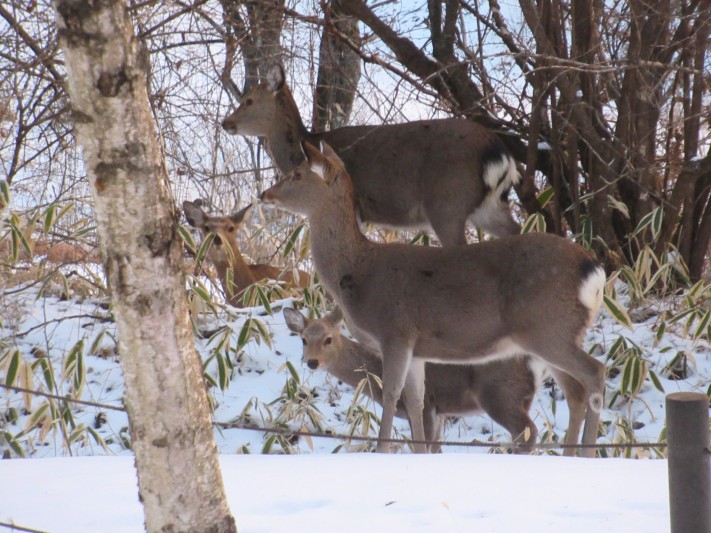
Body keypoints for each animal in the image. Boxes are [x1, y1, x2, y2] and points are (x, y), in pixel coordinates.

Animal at [222, 65, 520, 245]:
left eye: (248, 100)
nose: (226, 123)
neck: (306, 144)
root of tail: (498, 152)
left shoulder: (355, 206)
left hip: (447, 203)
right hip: (489, 206)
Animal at [284, 306, 545, 453]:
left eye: (328, 339)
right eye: (304, 339)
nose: (312, 362)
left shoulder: (427, 403)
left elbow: (423, 445)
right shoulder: (440, 411)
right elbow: (436, 448)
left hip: (498, 394)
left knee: (527, 432)